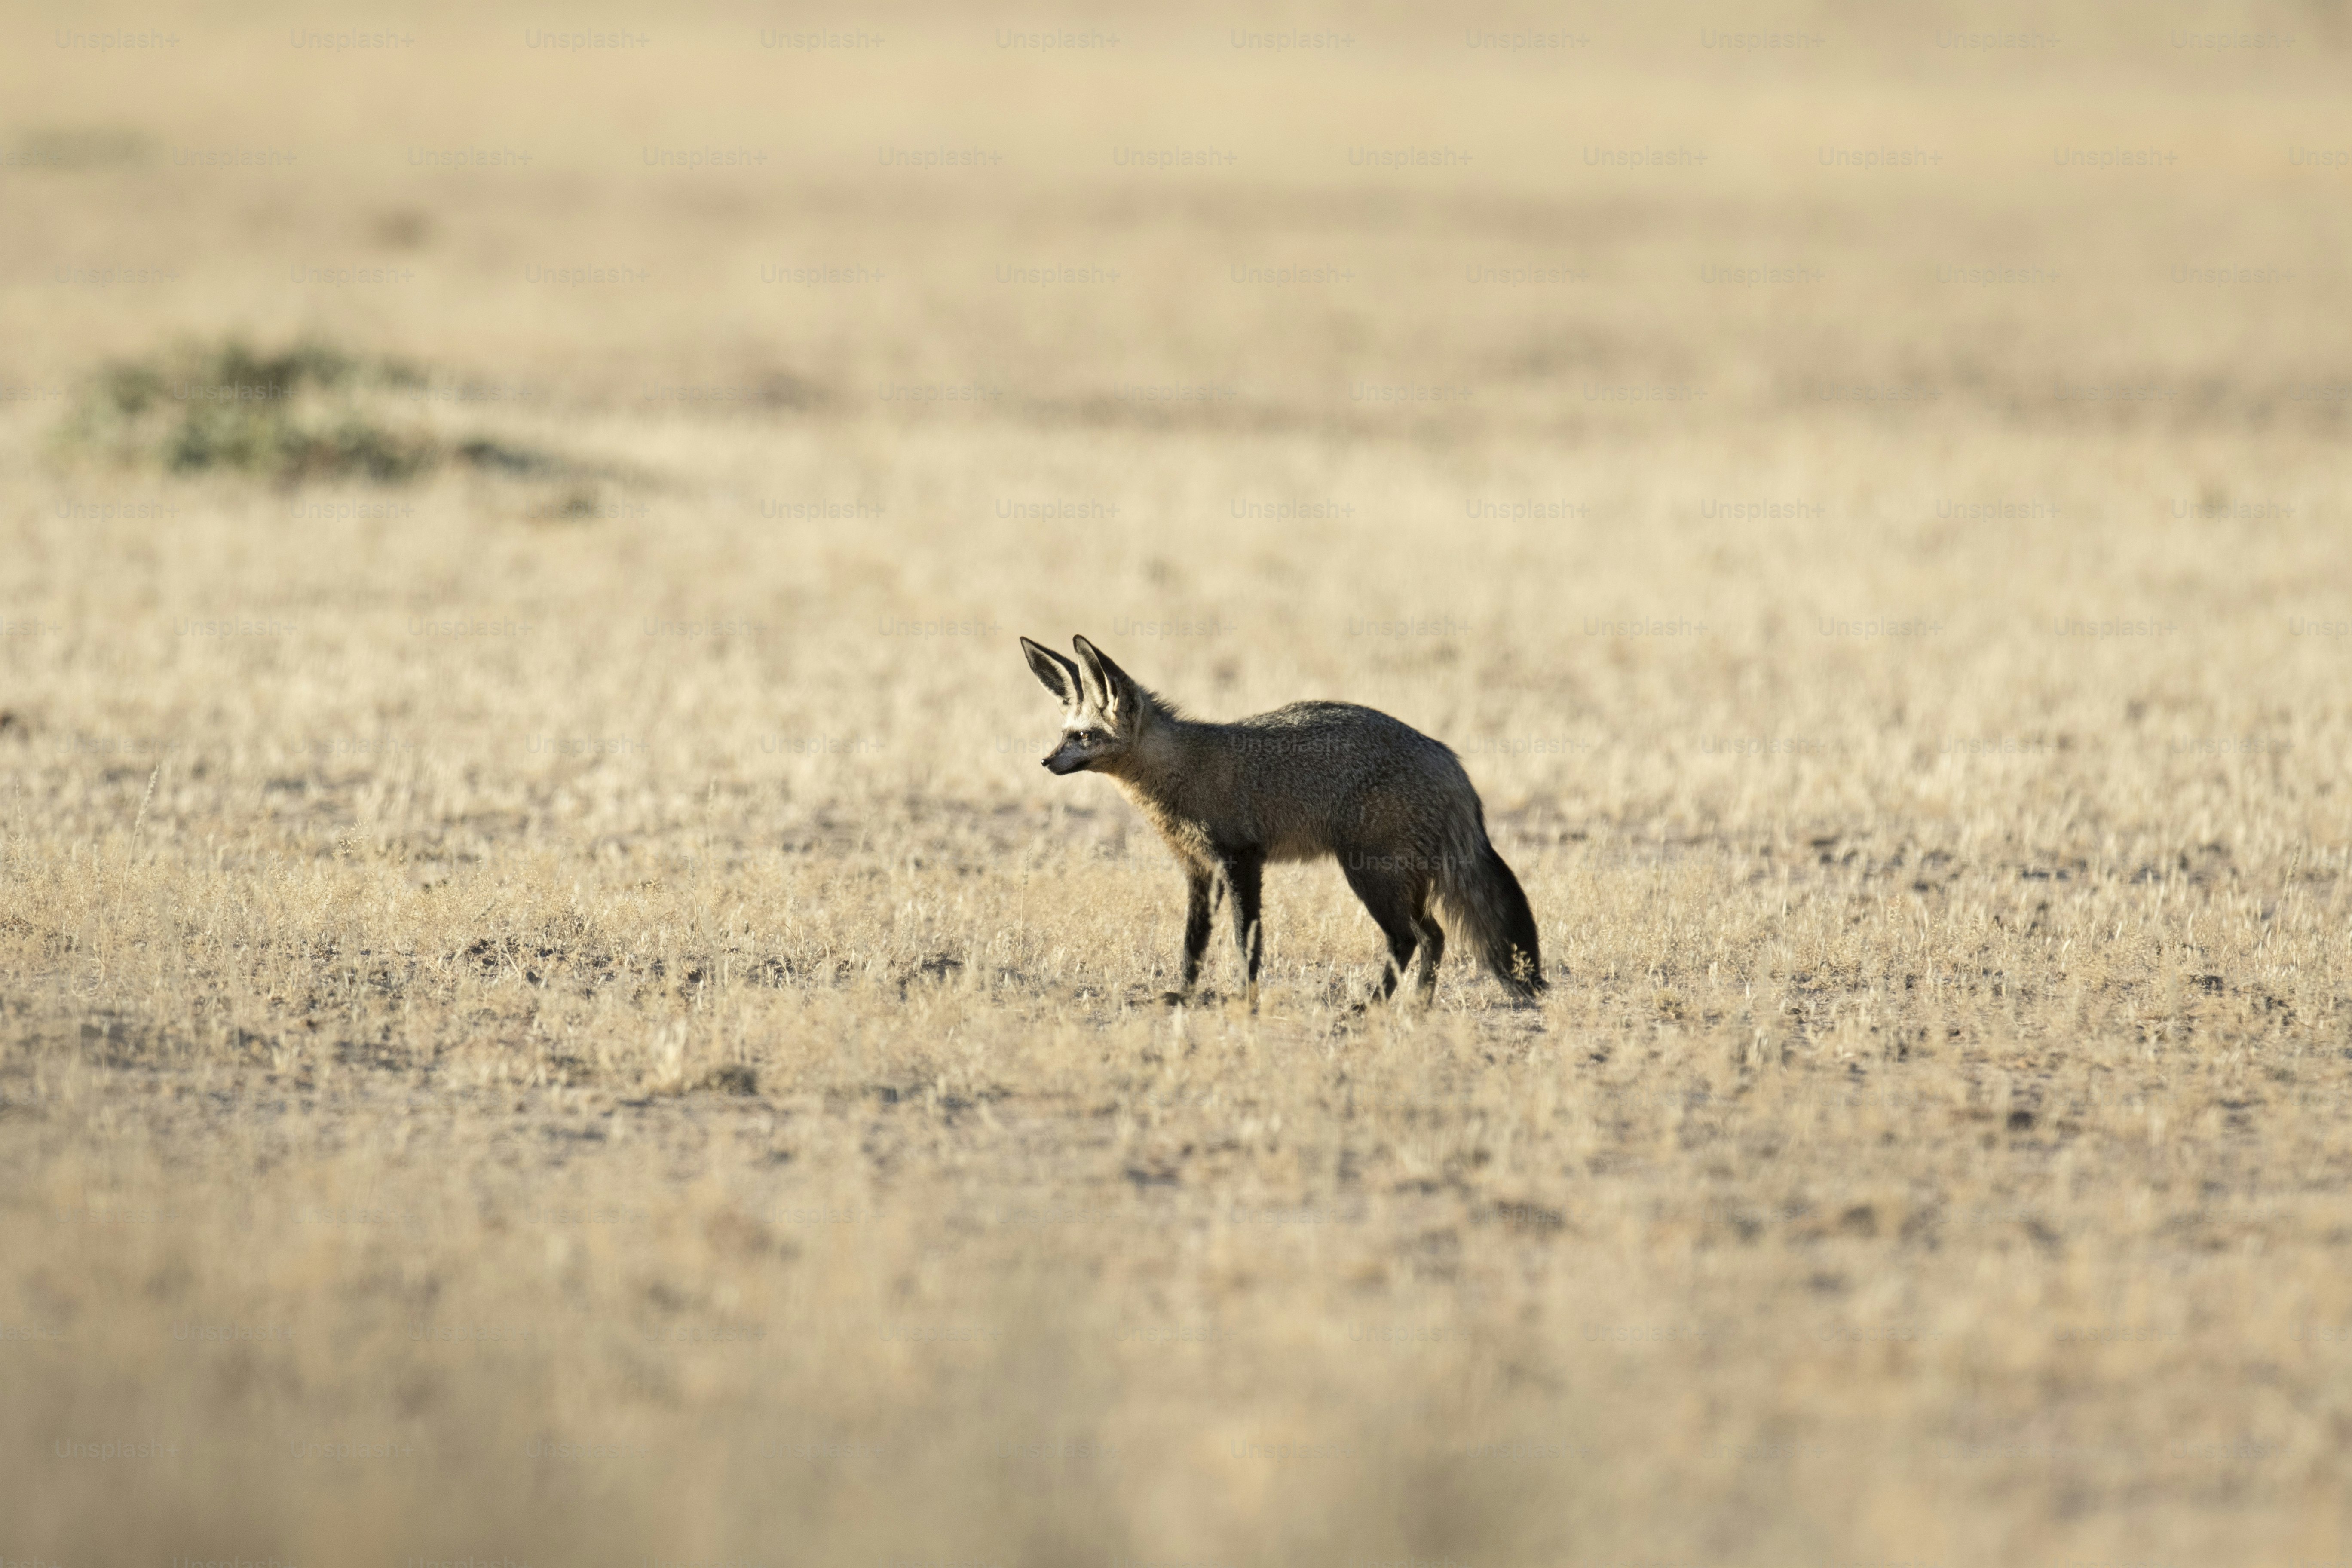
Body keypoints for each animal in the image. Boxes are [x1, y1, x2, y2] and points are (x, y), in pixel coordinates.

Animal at [1019, 634, 1546, 1007]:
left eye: (1084, 737)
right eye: (1064, 734)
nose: (1045, 762)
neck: (1185, 769)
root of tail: (1450, 761)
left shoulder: (1241, 860)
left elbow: (1244, 940)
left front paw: (1244, 998)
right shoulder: (1198, 869)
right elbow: (1193, 943)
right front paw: (1185, 995)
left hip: (1370, 875)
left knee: (1409, 939)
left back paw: (1373, 1007)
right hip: (1400, 881)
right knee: (1434, 936)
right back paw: (1417, 1006)